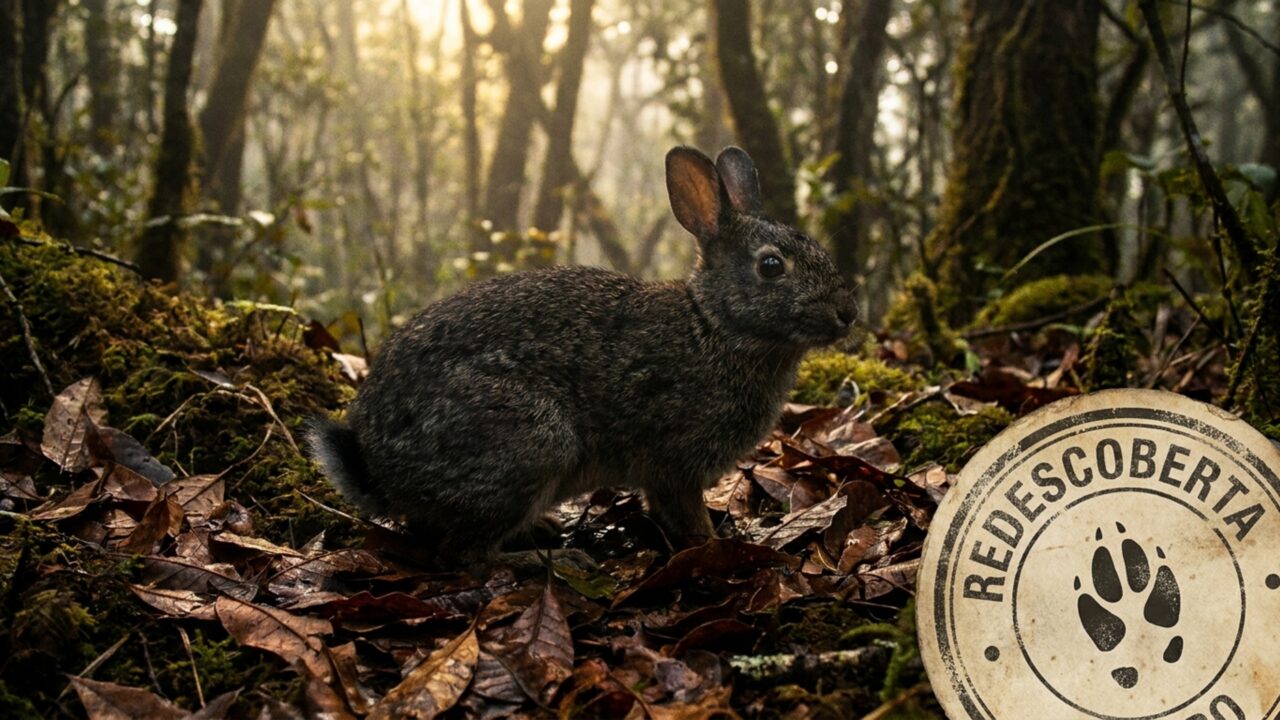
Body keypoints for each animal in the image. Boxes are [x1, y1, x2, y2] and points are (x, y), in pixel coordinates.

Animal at [306, 146, 858, 567]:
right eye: (771, 266)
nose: (848, 312)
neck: (714, 325)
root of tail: (379, 472)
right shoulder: (673, 464)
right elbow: (684, 513)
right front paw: (715, 544)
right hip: (529, 440)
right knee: (464, 556)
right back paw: (551, 557)